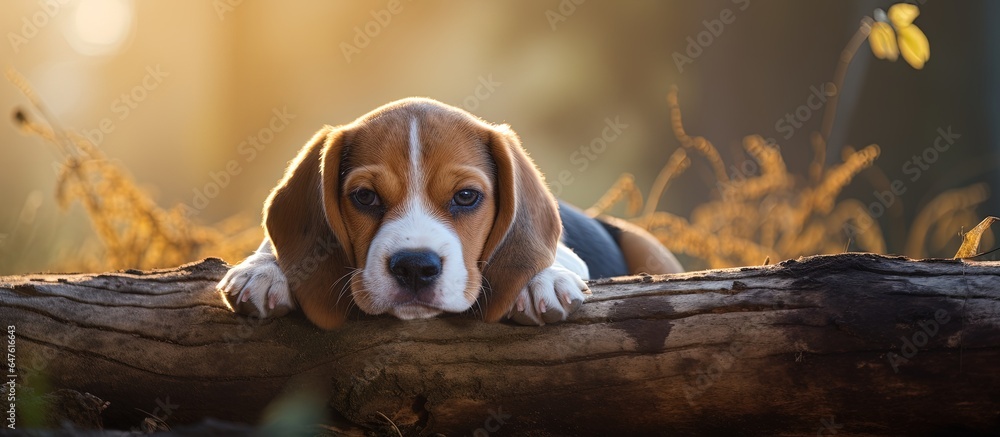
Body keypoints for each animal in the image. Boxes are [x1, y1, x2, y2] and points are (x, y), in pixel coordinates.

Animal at [220, 96, 684, 328]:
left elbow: (550, 258)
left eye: (465, 197)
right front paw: (263, 269)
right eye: (365, 197)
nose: (414, 268)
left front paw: (540, 280)